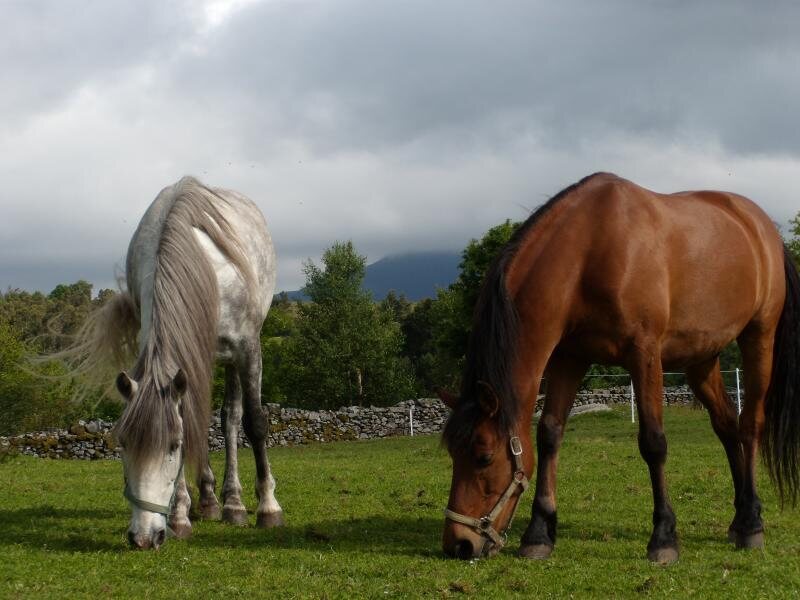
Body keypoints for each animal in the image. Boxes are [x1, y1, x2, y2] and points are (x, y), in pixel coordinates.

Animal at [62, 176, 283, 549]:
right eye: (123, 443)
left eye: (173, 446)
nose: (143, 537)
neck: (207, 269)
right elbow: (191, 421)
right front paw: (180, 514)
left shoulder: (247, 347)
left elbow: (254, 423)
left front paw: (268, 506)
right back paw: (209, 501)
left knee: (232, 418)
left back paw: (234, 503)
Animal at [440, 172, 800, 564]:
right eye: (452, 453)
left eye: (483, 456)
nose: (459, 544)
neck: (588, 255)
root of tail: (762, 226)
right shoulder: (569, 358)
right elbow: (549, 434)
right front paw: (538, 534)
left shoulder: (645, 355)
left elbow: (653, 442)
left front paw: (663, 538)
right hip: (701, 359)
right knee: (727, 426)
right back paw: (739, 518)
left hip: (758, 339)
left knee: (749, 426)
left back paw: (751, 525)